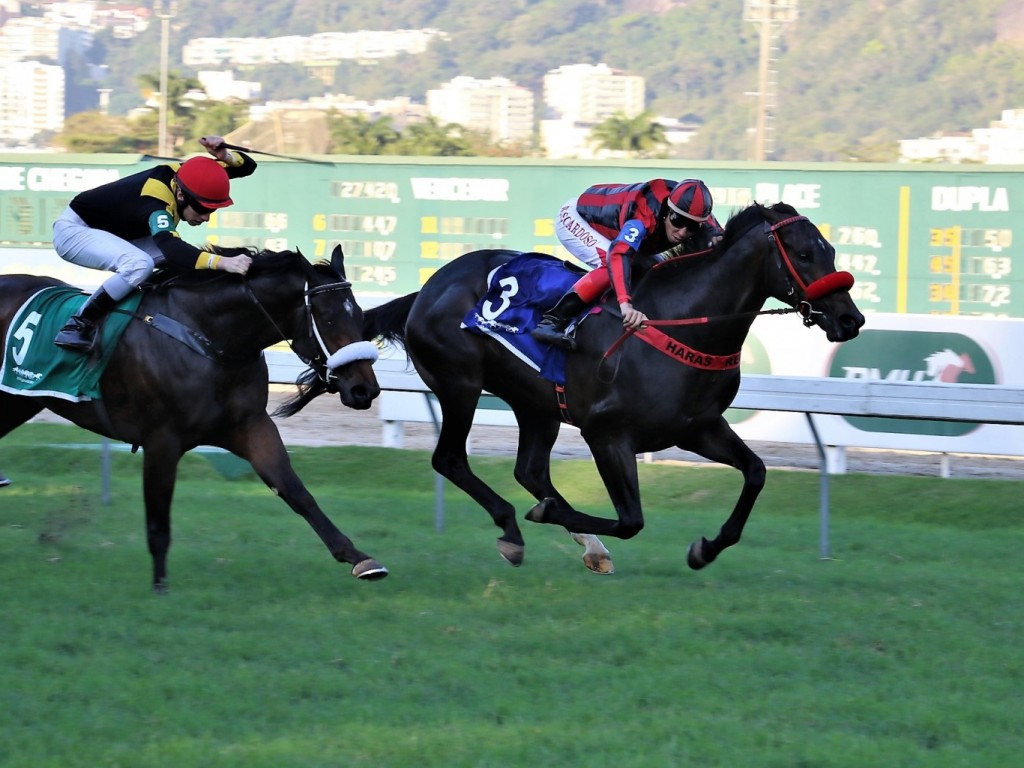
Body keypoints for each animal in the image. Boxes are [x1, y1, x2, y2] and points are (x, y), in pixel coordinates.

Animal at [0, 246, 389, 593]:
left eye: (359, 315)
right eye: (328, 318)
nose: (364, 389)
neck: (211, 339)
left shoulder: (251, 426)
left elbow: (296, 491)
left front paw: (360, 559)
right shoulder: (162, 440)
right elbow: (158, 521)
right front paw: (160, 588)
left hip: (19, 401)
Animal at [364, 201, 868, 573]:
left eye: (831, 250)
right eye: (803, 254)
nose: (851, 319)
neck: (681, 322)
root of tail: (430, 287)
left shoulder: (698, 428)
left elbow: (757, 472)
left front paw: (704, 549)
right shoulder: (606, 435)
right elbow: (631, 521)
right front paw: (546, 514)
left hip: (536, 404)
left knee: (530, 471)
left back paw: (584, 543)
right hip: (460, 384)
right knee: (450, 459)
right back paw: (514, 528)